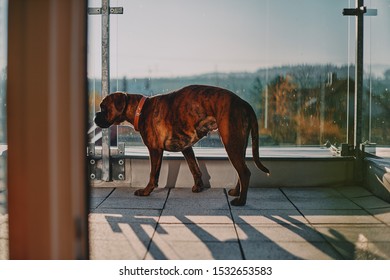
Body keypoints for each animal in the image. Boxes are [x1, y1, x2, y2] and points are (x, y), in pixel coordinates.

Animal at [96, 85, 270, 206]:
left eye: (103, 108)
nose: (94, 117)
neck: (140, 109)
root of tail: (244, 103)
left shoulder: (155, 150)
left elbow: (153, 174)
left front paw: (146, 191)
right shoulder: (186, 148)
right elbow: (194, 168)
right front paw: (198, 187)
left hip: (231, 144)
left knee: (245, 172)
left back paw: (241, 201)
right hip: (238, 145)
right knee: (241, 171)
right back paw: (236, 192)